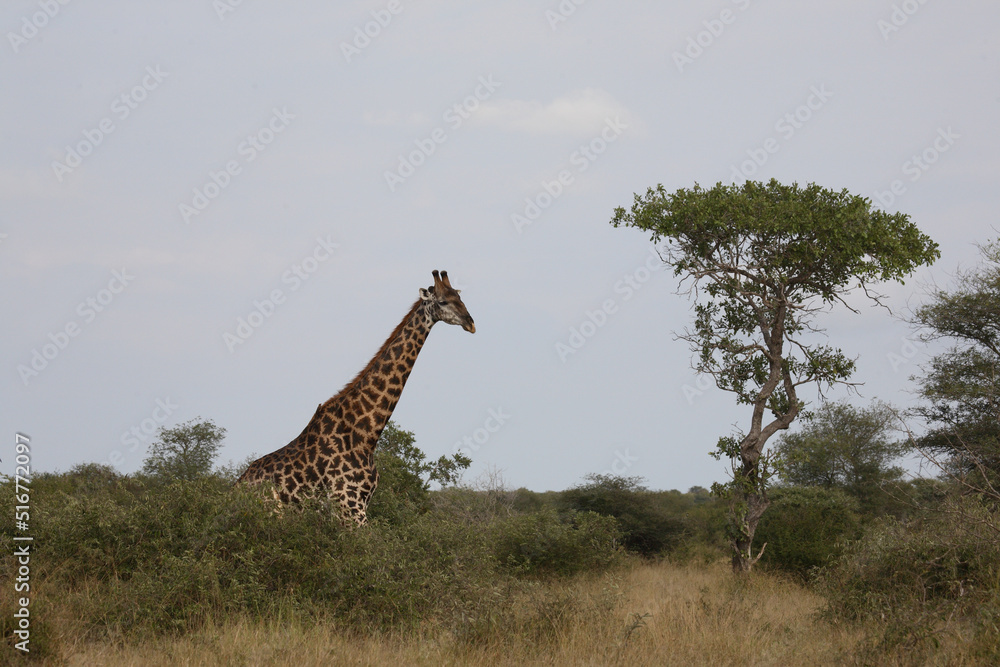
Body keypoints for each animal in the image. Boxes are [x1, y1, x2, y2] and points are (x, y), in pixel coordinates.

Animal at [237, 270, 475, 525]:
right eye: (443, 301)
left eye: (459, 297)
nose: (470, 323)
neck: (365, 435)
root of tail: (235, 487)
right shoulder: (350, 508)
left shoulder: (360, 506)